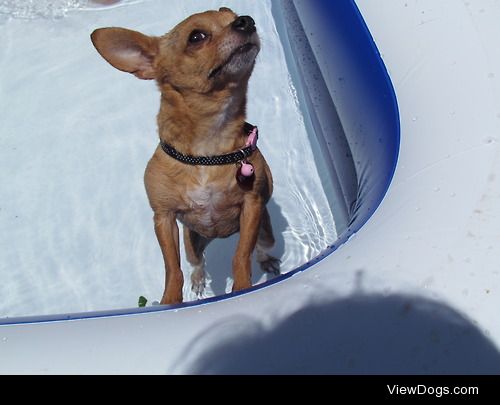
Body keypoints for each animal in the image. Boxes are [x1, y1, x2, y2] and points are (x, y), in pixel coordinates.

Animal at [92, 7, 280, 304]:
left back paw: (265, 260)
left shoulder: (252, 206)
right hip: (192, 240)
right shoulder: (164, 218)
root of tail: (221, 236)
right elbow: (172, 267)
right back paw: (199, 278)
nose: (246, 21)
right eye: (196, 37)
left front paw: (242, 287)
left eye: (234, 17)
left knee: (258, 246)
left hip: (263, 227)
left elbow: (241, 255)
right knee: (196, 260)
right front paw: (170, 299)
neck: (209, 147)